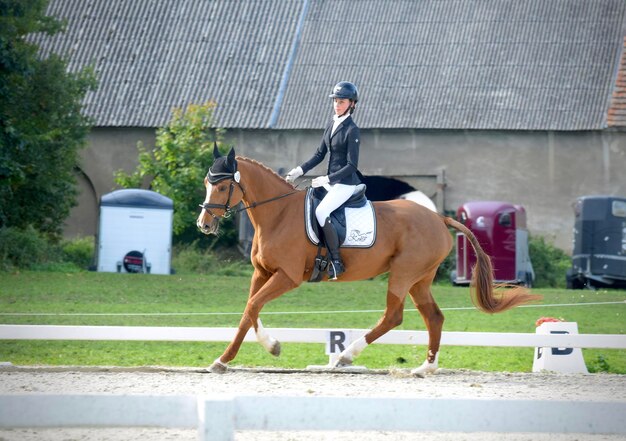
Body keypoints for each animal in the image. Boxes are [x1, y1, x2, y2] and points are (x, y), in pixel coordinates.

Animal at [197, 148, 540, 374]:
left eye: (223, 186)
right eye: (206, 183)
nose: (204, 224)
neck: (278, 214)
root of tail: (438, 218)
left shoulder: (287, 276)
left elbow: (254, 306)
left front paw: (264, 349)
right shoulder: (262, 272)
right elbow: (249, 310)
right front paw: (230, 357)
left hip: (403, 273)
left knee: (393, 316)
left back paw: (345, 357)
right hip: (420, 279)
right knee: (434, 317)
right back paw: (425, 368)